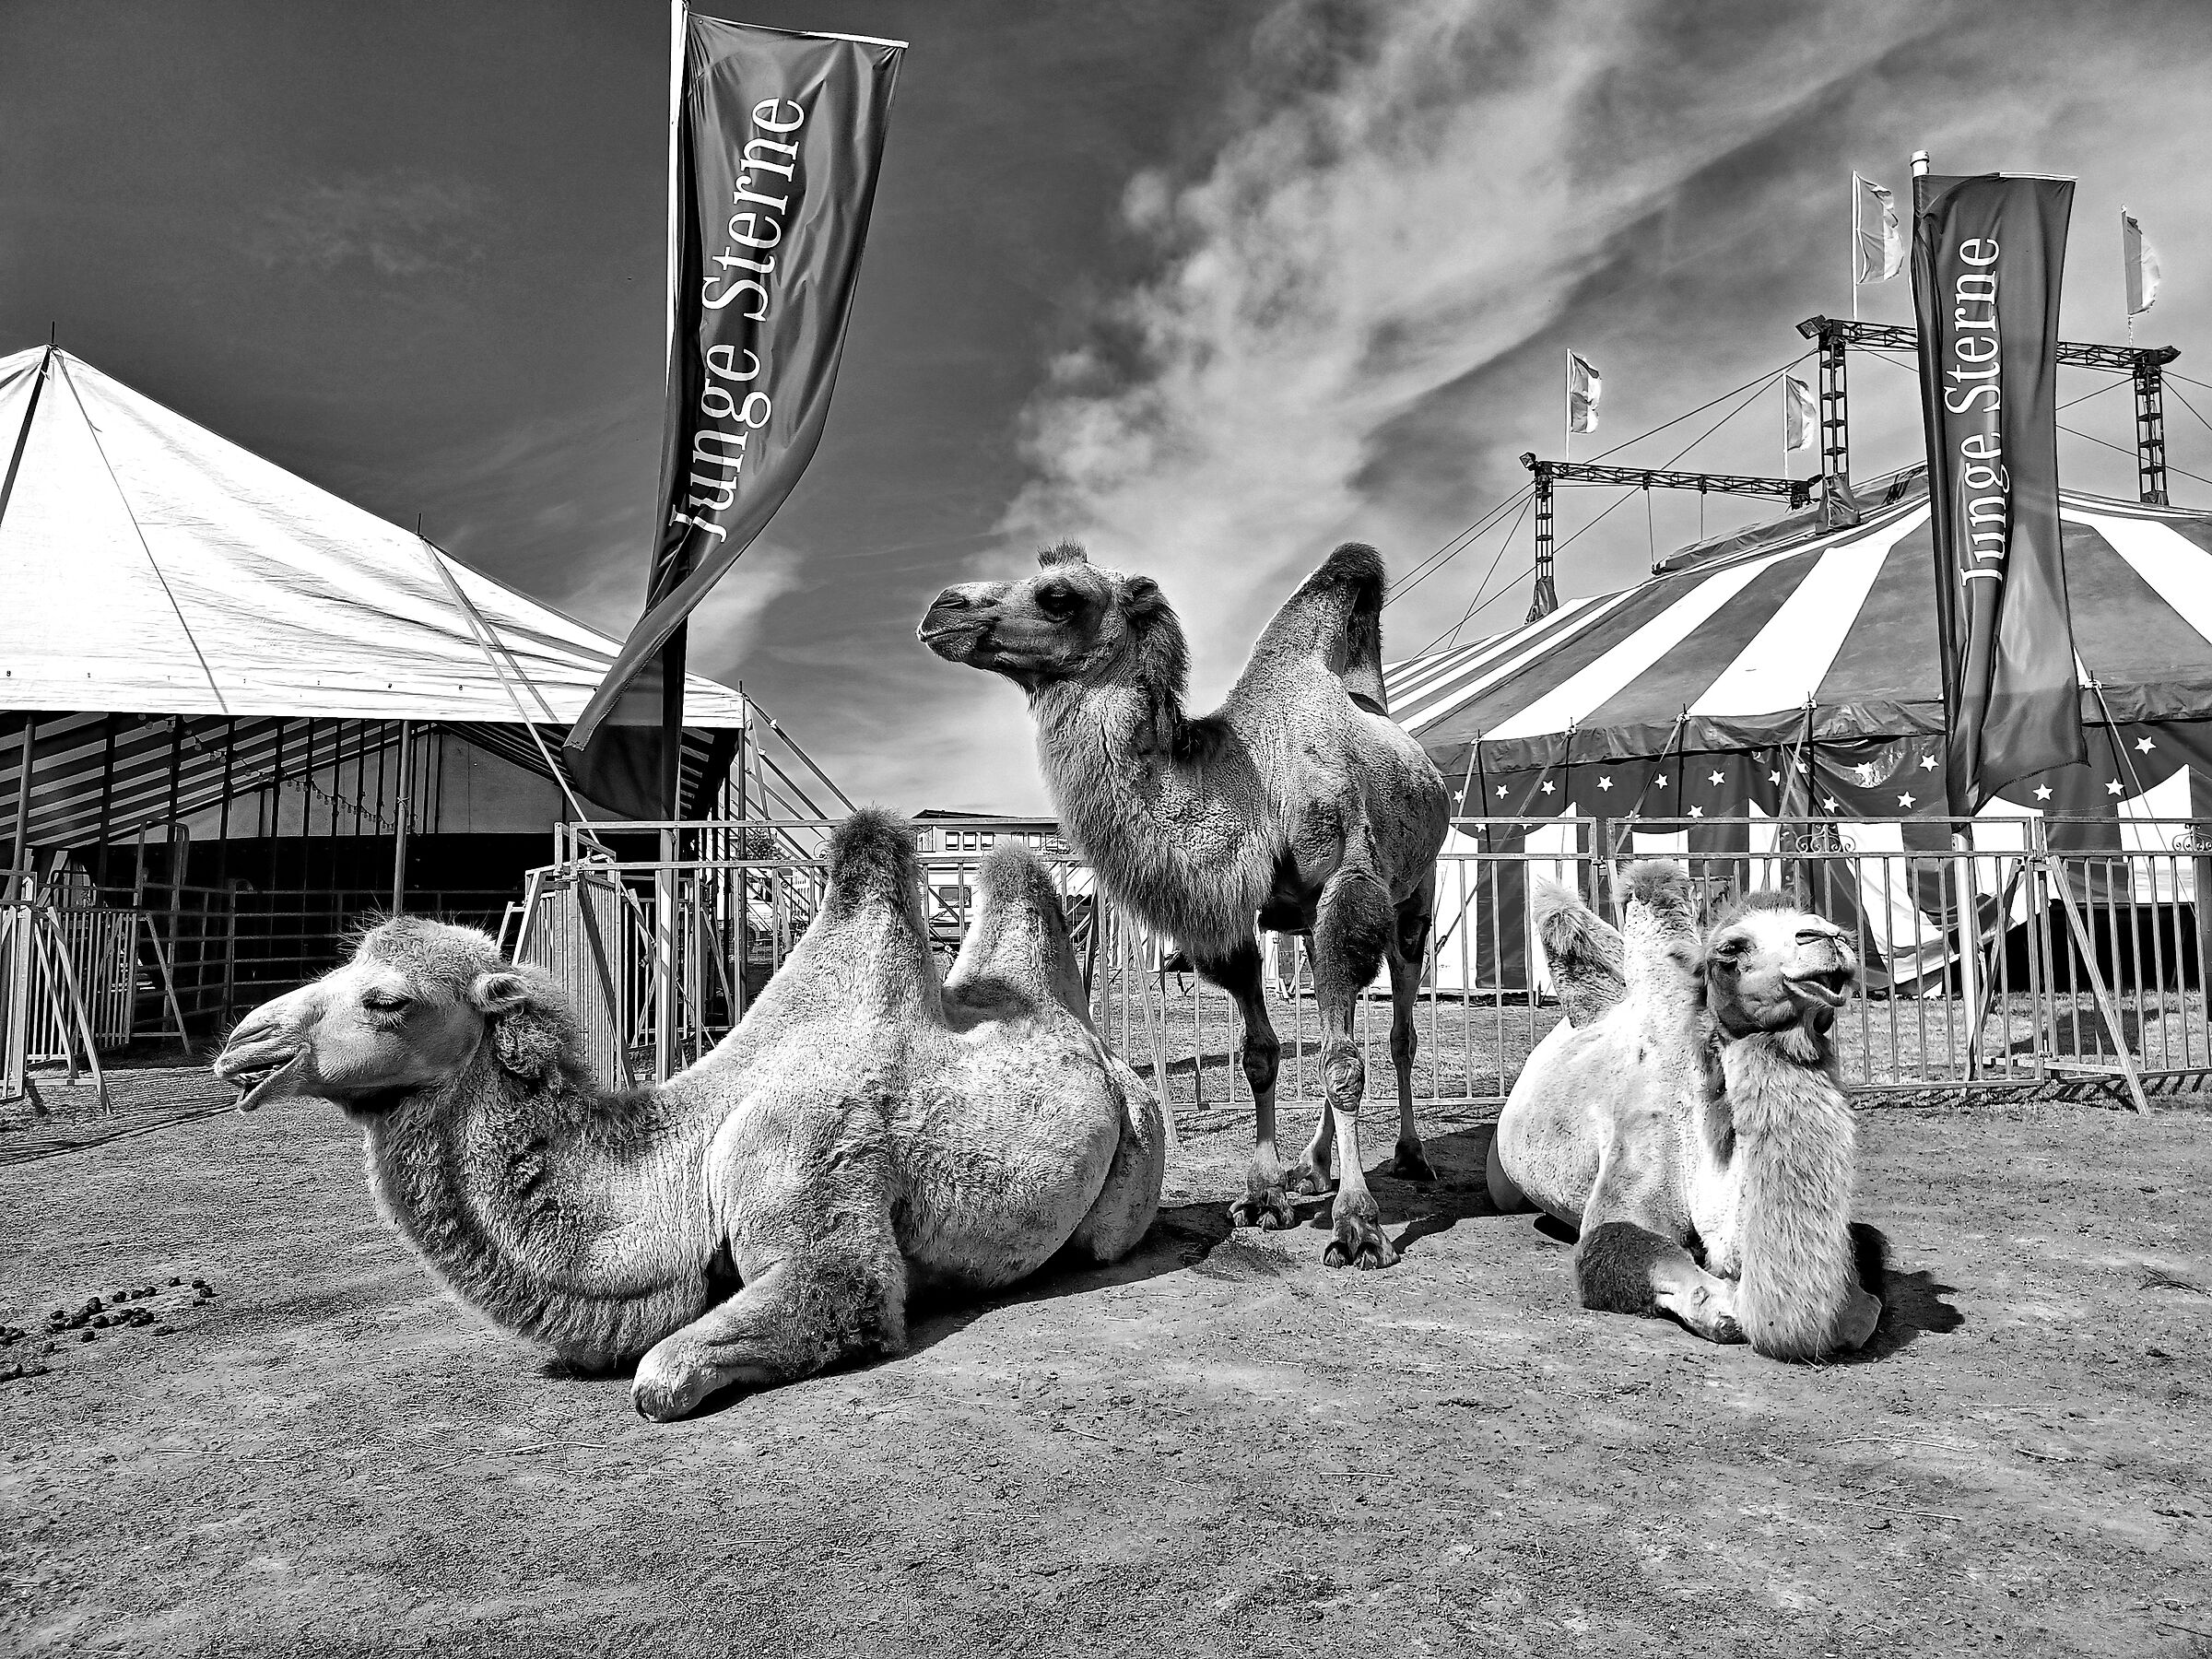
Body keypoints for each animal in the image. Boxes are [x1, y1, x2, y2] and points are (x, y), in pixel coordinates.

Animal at [210, 811, 1166, 1422]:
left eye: (387, 1001)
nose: (242, 1047)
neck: (682, 1163)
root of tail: (1095, 1040)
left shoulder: (802, 1172)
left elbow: (668, 1373)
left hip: (1141, 1139)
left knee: (1107, 1234)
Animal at [919, 542, 1449, 1270]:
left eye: (1059, 597)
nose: (939, 611)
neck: (1248, 785)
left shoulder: (1347, 880)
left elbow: (1345, 1063)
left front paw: (1358, 1228)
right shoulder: (1233, 916)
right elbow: (1262, 1053)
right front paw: (1263, 1197)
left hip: (1411, 896)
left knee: (1398, 1029)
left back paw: (1410, 1157)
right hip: (1307, 924)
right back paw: (1312, 1168)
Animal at [1487, 864, 1883, 1359]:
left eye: (1828, 925)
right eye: (1731, 948)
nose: (1830, 938)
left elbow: (1864, 1274)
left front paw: (1855, 1307)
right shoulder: (1641, 1138)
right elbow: (1613, 1249)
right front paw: (1722, 1308)